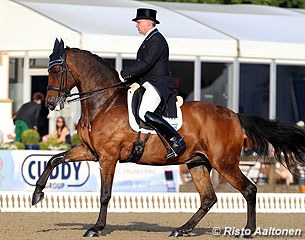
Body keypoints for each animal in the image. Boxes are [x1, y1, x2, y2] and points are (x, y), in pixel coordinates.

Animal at [31, 39, 305, 236]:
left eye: (57, 69)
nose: (51, 104)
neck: (103, 103)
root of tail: (234, 115)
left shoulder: (108, 156)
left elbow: (105, 193)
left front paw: (96, 228)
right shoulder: (90, 151)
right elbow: (54, 159)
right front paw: (37, 195)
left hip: (224, 163)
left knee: (249, 189)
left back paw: (247, 231)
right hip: (198, 163)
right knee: (209, 198)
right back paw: (182, 230)